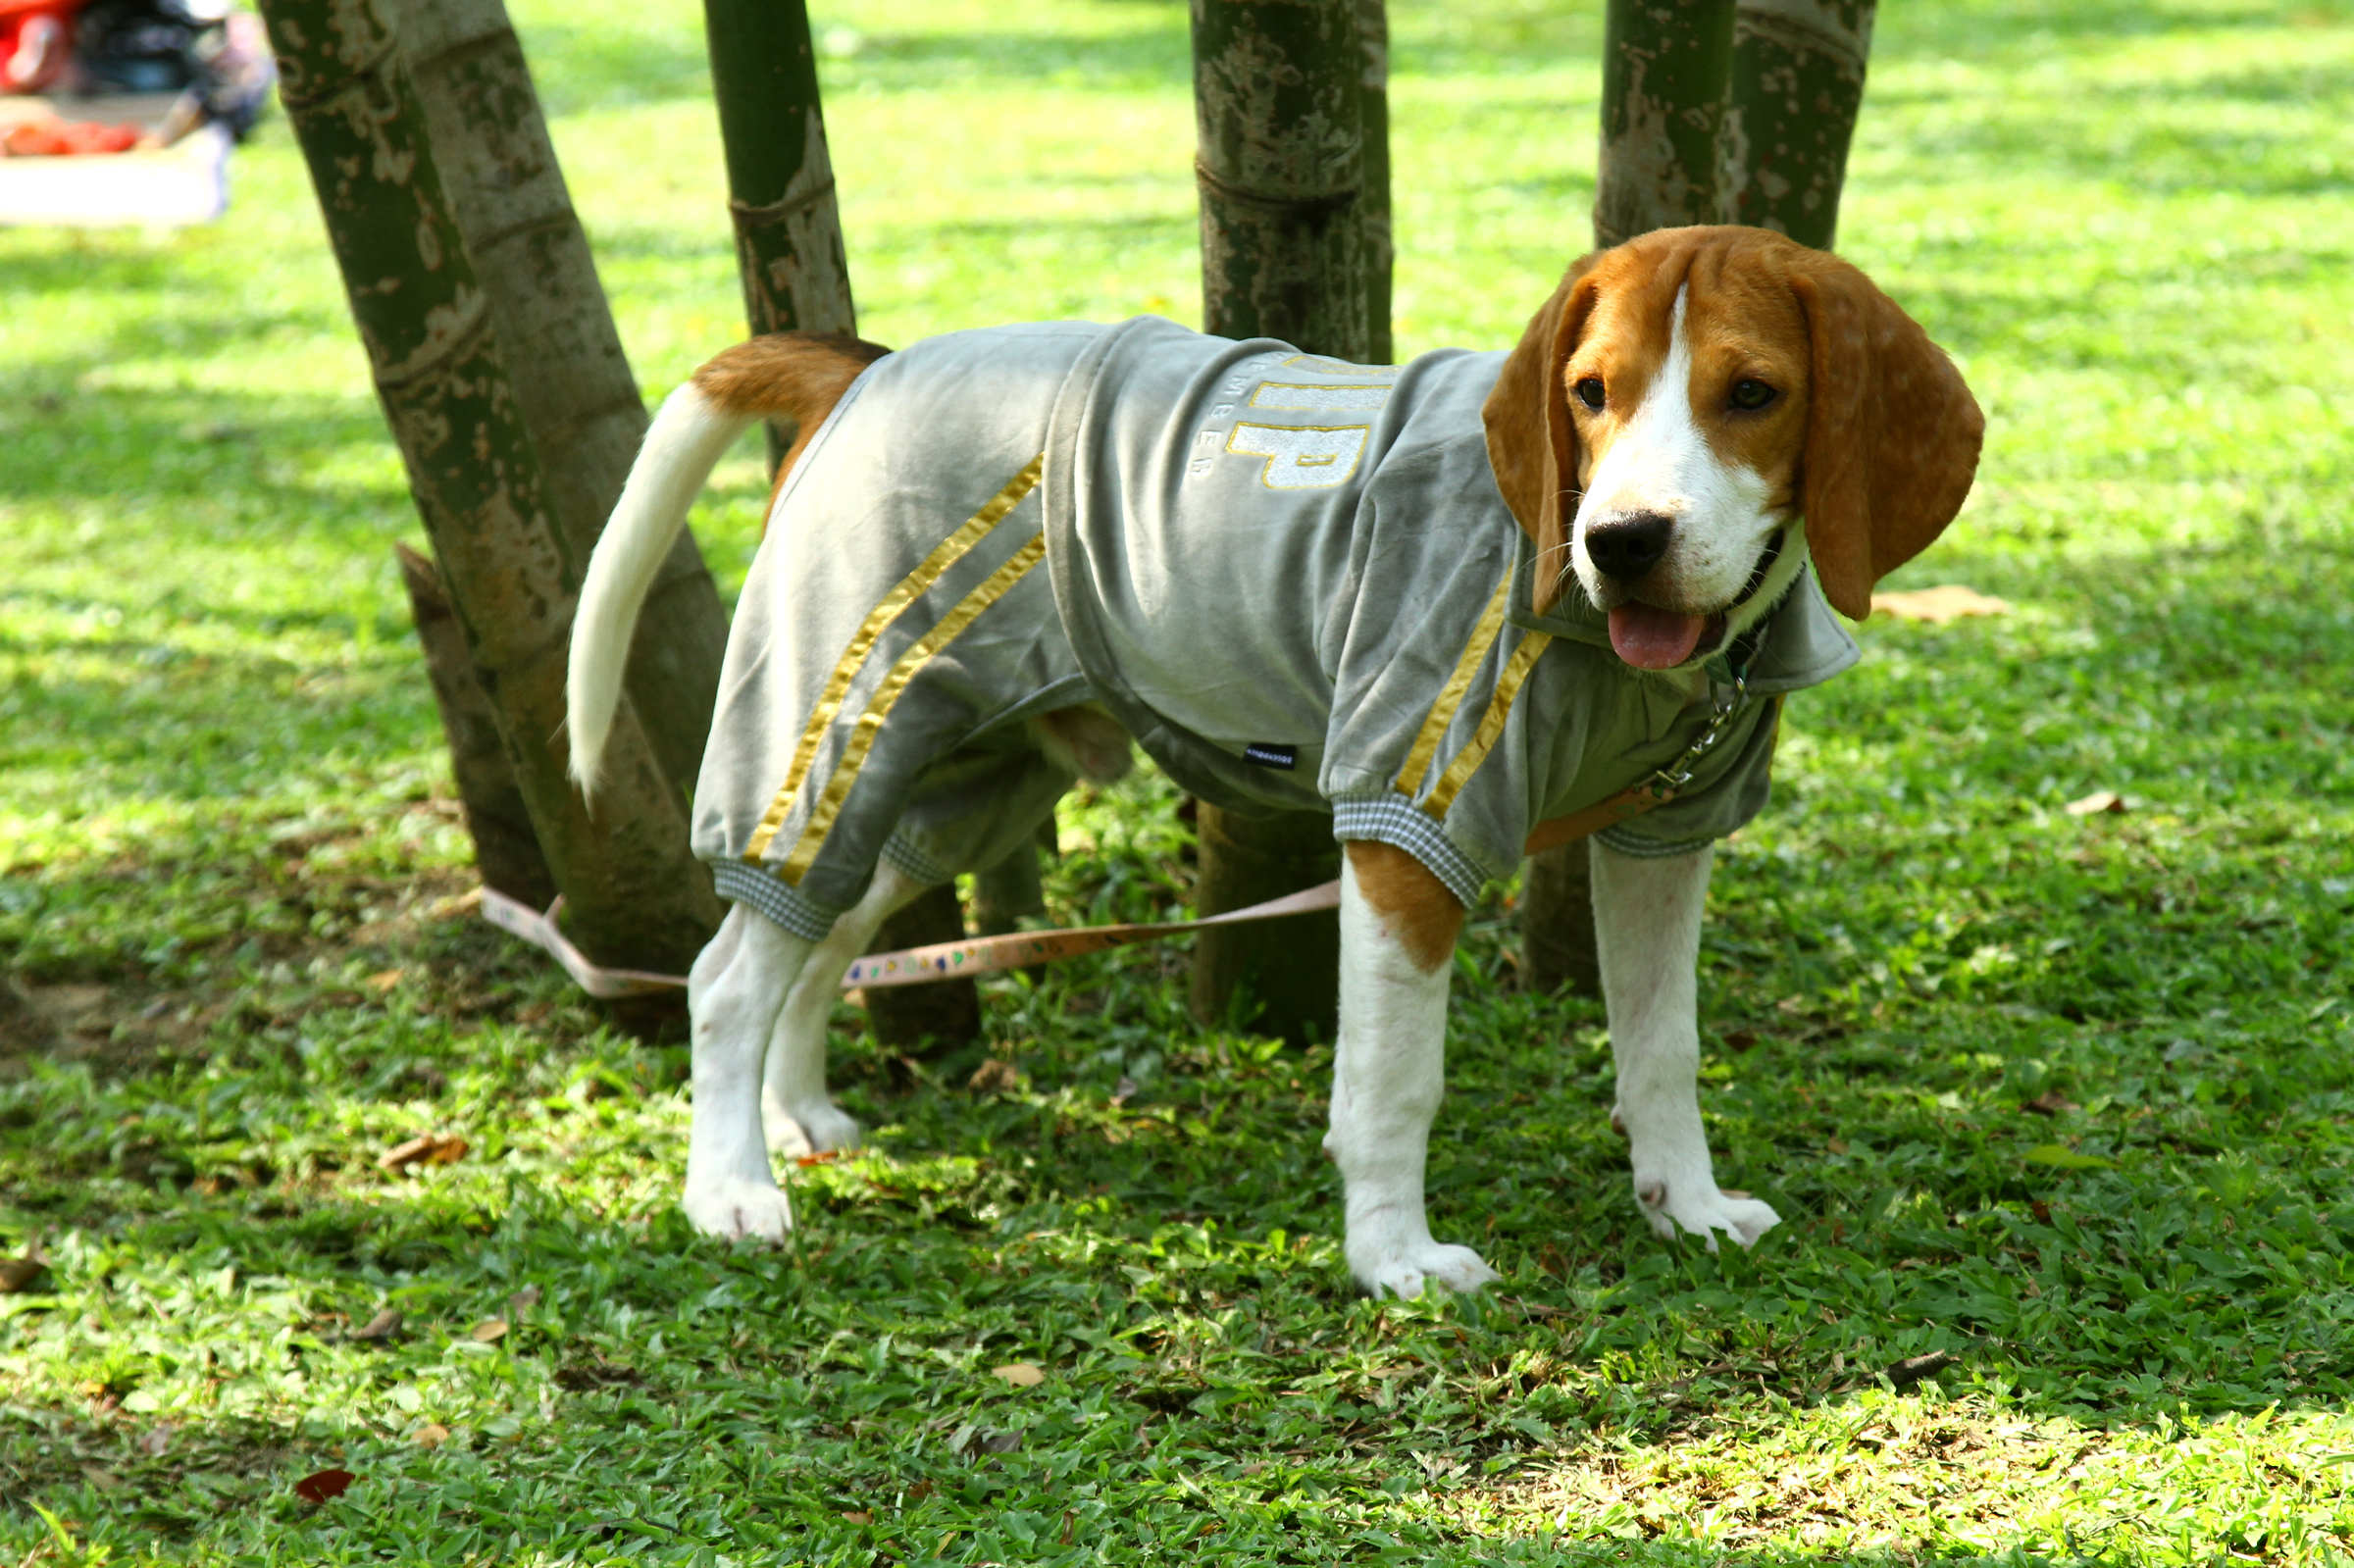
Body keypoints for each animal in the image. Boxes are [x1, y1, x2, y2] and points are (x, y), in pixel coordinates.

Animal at [565, 225, 1982, 1299]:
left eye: (1753, 394)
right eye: (1590, 394)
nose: (1622, 539)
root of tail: (871, 365)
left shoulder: (1663, 839)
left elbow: (1662, 1048)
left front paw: (1682, 1202)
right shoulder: (1411, 818)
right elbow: (1395, 1083)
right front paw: (1395, 1258)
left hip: (957, 784)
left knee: (820, 943)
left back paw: (794, 1116)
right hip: (828, 722)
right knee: (725, 976)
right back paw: (730, 1185)